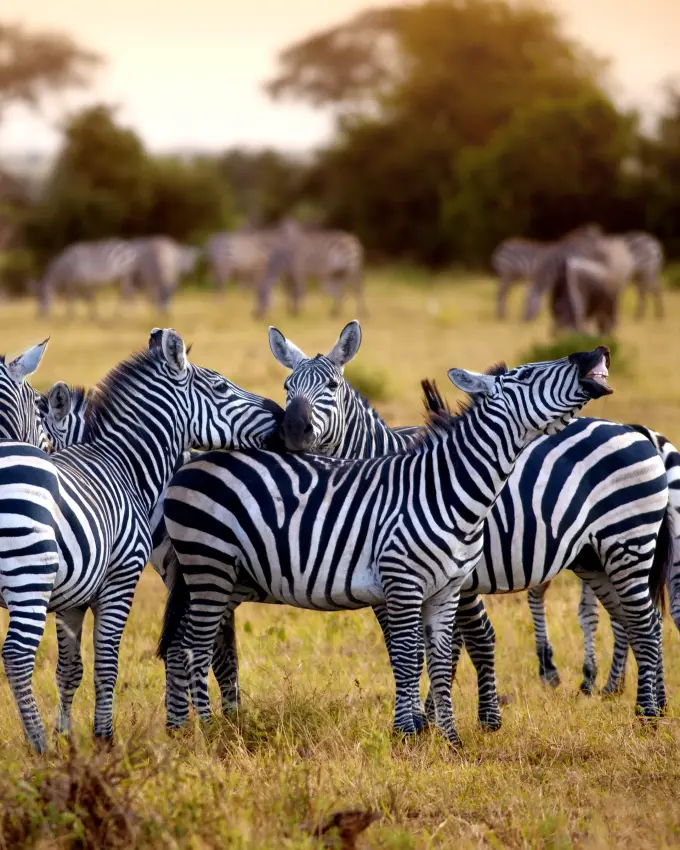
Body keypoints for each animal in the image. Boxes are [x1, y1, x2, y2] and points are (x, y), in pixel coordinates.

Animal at [0, 328, 284, 753]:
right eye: (220, 386)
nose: (282, 414)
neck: (124, 465)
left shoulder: (72, 597)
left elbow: (70, 669)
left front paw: (69, 742)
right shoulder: (120, 578)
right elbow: (107, 663)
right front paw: (103, 739)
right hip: (28, 581)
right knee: (17, 656)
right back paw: (39, 748)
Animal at [160, 346, 611, 745]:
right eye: (527, 374)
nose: (595, 352)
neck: (446, 489)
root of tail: (195, 460)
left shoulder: (446, 589)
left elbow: (440, 658)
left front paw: (449, 740)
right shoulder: (403, 583)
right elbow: (408, 656)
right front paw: (409, 733)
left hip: (218, 578)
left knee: (181, 648)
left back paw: (180, 730)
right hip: (209, 566)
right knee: (192, 649)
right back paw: (206, 731)